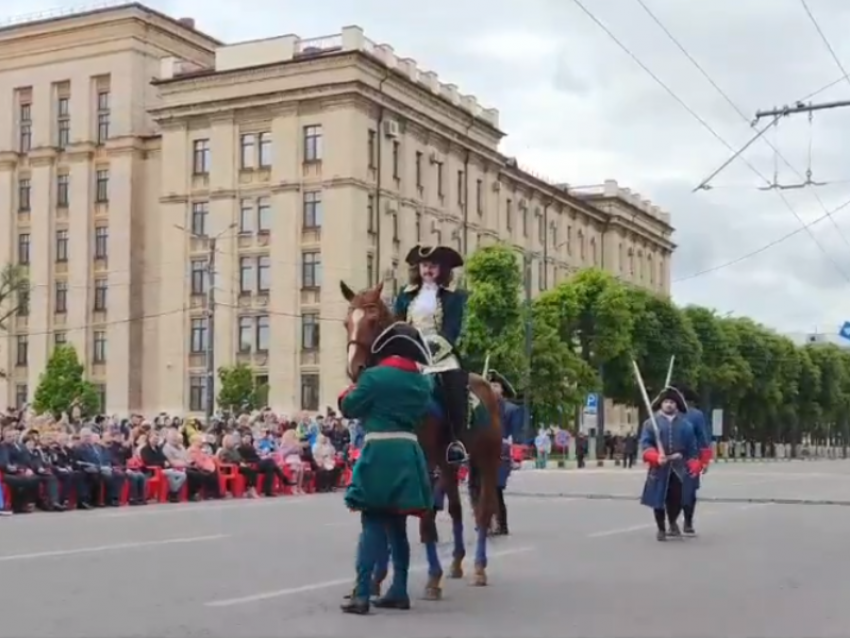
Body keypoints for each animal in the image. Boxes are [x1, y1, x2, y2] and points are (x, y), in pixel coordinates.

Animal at [340, 282, 504, 600]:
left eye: (372, 320)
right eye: (346, 322)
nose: (355, 369)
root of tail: (488, 388)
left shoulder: (422, 463)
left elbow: (424, 520)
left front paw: (432, 579)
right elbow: (391, 518)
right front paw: (377, 579)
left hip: (486, 460)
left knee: (483, 510)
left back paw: (478, 569)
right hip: (449, 462)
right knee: (456, 509)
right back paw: (457, 563)